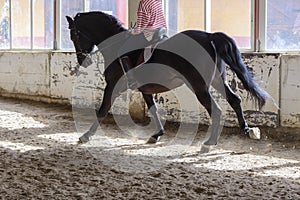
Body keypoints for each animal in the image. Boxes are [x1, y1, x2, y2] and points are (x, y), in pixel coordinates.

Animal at [66, 10, 272, 151]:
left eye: (74, 35)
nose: (83, 61)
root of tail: (209, 37)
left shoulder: (113, 85)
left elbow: (102, 109)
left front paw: (85, 136)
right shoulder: (145, 89)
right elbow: (153, 109)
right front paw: (157, 134)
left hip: (199, 86)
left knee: (217, 109)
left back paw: (210, 142)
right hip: (217, 80)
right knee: (234, 99)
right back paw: (247, 130)